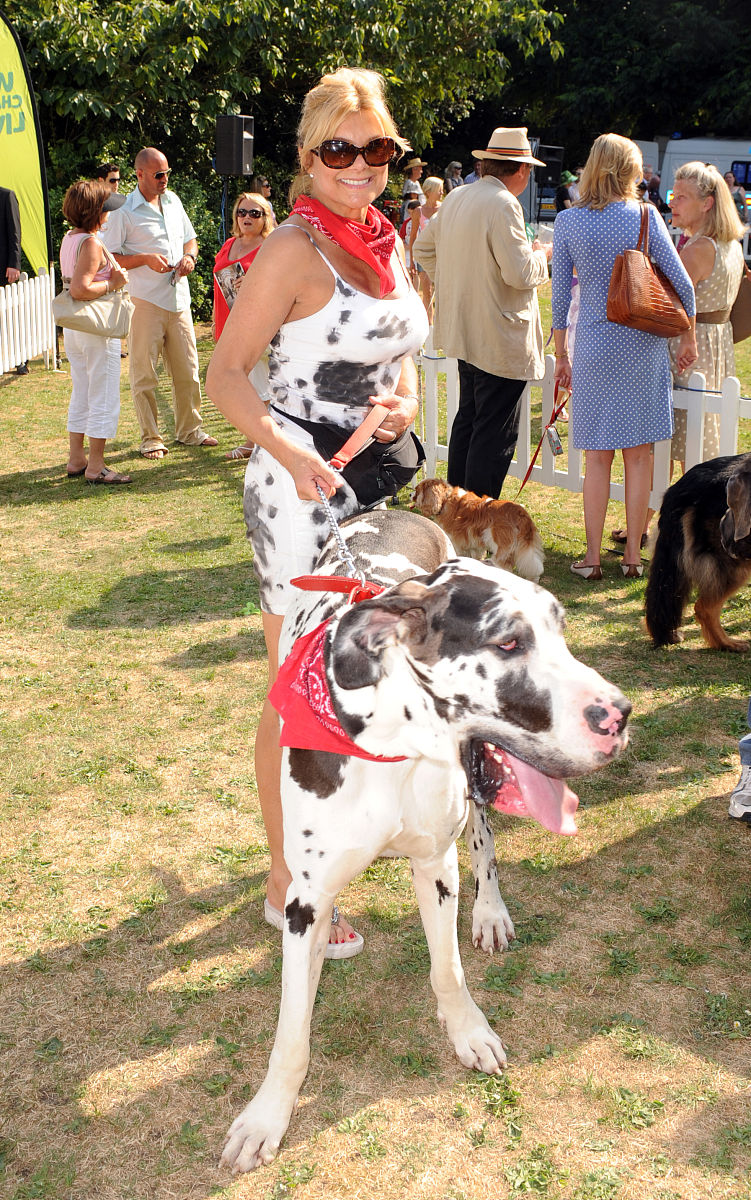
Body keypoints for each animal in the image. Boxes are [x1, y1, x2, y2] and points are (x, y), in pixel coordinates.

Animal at [410, 475, 544, 583]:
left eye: (416, 490)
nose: (410, 494)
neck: (446, 500)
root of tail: (520, 513)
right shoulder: (475, 542)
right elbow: (475, 556)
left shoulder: (454, 540)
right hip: (527, 548)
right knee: (533, 566)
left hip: (501, 547)